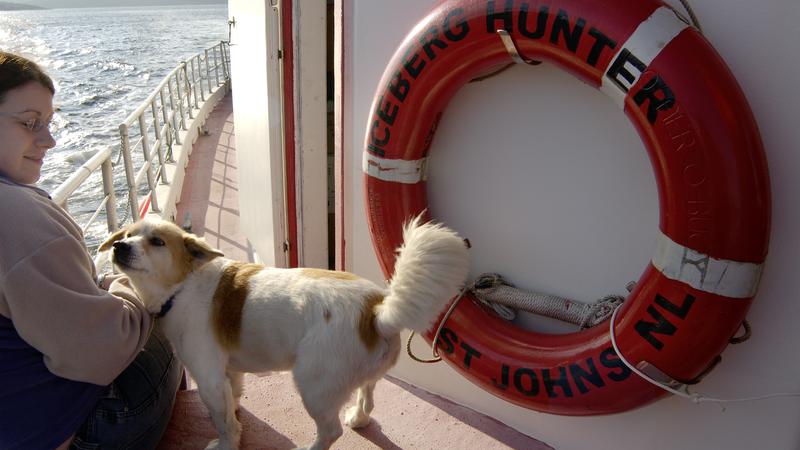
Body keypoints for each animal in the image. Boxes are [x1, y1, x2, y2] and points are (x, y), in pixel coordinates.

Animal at [101, 216, 472, 448]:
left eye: (157, 241)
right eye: (126, 235)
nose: (120, 247)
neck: (183, 285)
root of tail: (377, 312)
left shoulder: (207, 376)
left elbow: (222, 420)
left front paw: (226, 443)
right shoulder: (227, 371)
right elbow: (232, 399)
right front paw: (236, 417)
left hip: (313, 387)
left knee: (330, 432)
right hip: (363, 377)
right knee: (367, 395)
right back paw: (359, 417)